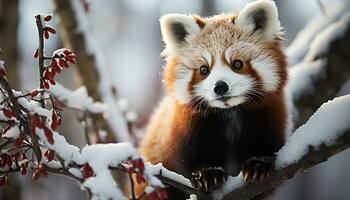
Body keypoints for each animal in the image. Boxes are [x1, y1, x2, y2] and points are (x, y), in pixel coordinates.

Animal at [137, 0, 290, 199]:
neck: (230, 113)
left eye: (237, 64)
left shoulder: (269, 117)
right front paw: (206, 173)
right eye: (204, 69)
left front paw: (258, 162)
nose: (220, 87)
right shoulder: (184, 131)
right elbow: (190, 159)